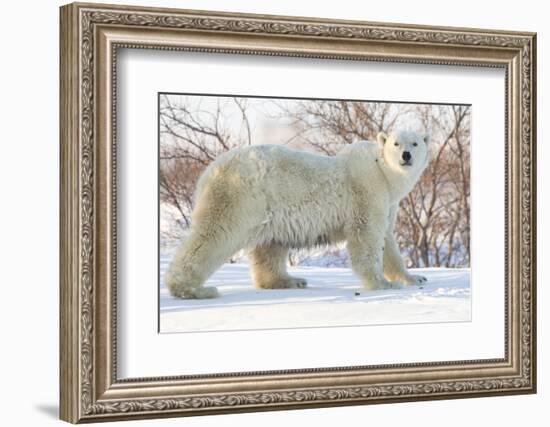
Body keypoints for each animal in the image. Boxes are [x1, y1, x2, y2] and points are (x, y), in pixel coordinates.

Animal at [165, 132, 432, 300]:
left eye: (415, 143)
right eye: (396, 143)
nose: (406, 155)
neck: (382, 172)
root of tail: (209, 172)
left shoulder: (388, 202)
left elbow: (387, 240)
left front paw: (415, 278)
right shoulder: (367, 191)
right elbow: (367, 236)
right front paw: (382, 284)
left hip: (268, 207)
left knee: (269, 246)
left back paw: (291, 280)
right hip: (239, 195)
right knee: (214, 234)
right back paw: (192, 289)